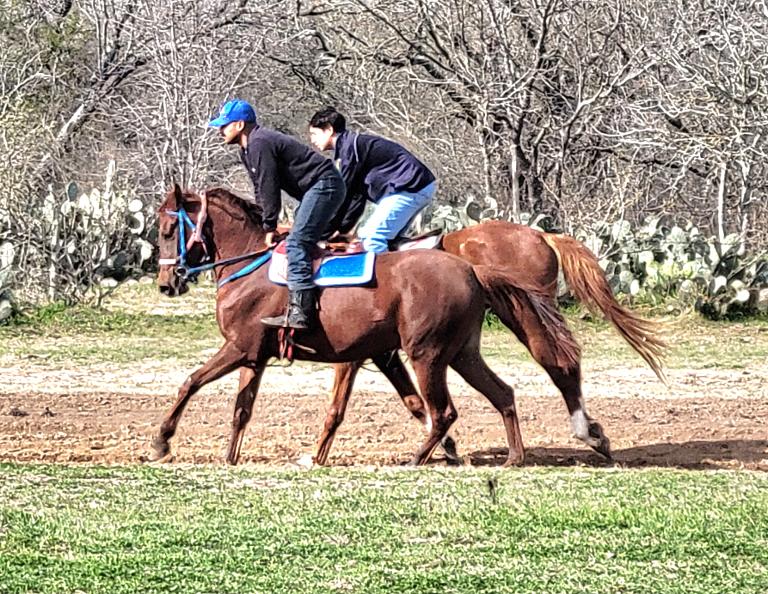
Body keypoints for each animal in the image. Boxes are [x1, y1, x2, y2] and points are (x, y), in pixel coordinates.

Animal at [154, 184, 580, 466]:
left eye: (166, 231)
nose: (166, 283)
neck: (249, 263)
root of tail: (471, 269)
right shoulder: (256, 355)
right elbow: (242, 409)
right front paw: (230, 457)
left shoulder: (241, 347)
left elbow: (190, 381)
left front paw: (162, 441)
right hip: (461, 353)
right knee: (502, 393)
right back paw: (514, 456)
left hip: (427, 354)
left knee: (446, 411)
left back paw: (417, 459)